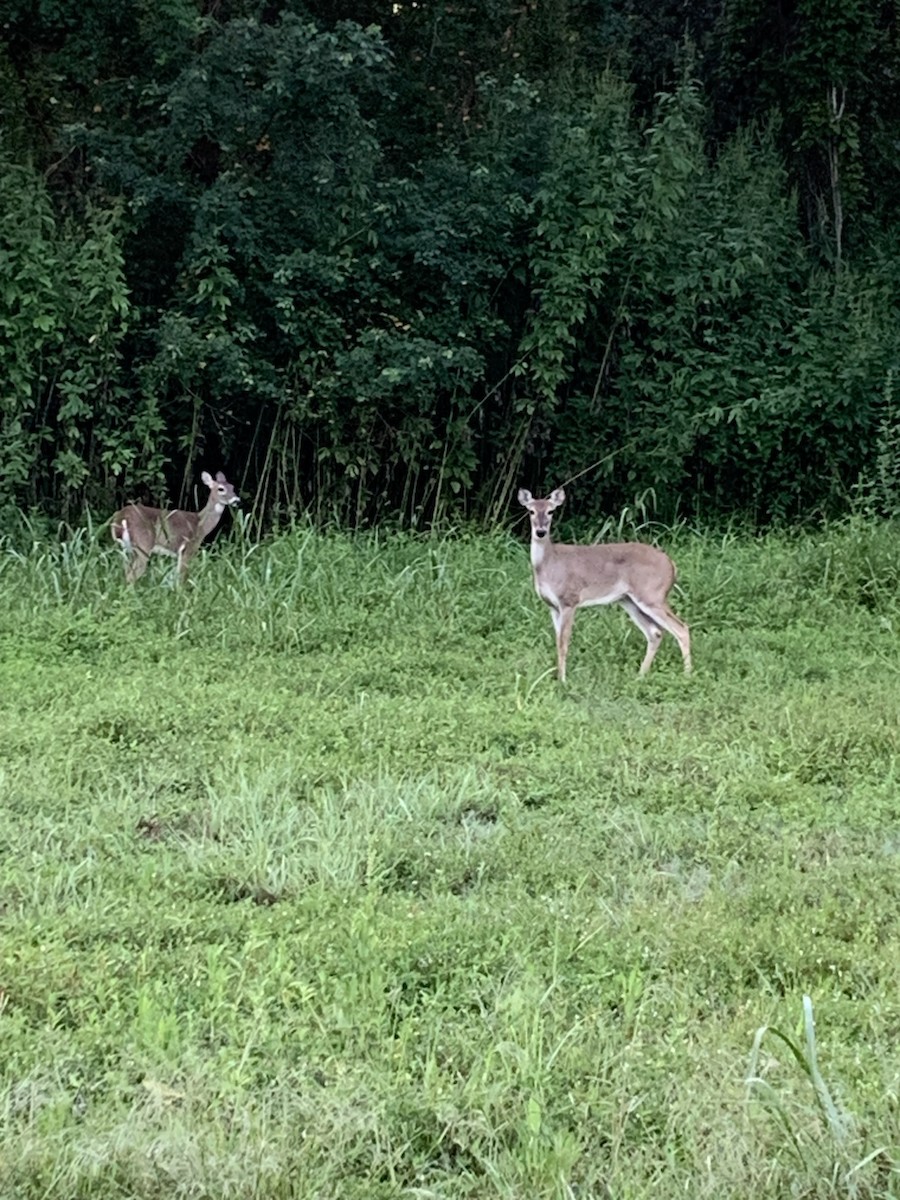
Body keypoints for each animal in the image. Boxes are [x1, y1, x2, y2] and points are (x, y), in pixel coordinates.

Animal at [111, 470, 240, 584]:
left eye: (233, 487)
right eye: (221, 489)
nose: (237, 500)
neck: (201, 525)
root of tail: (121, 517)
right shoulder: (188, 548)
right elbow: (182, 578)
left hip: (126, 548)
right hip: (143, 544)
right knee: (132, 575)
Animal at [518, 487, 691, 681]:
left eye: (551, 511)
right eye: (531, 511)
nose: (540, 531)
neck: (549, 564)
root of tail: (671, 565)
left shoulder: (569, 600)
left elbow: (564, 642)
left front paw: (563, 680)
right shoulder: (553, 606)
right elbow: (557, 641)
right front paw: (557, 677)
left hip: (652, 595)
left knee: (681, 628)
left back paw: (687, 675)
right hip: (628, 600)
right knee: (655, 632)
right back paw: (640, 675)